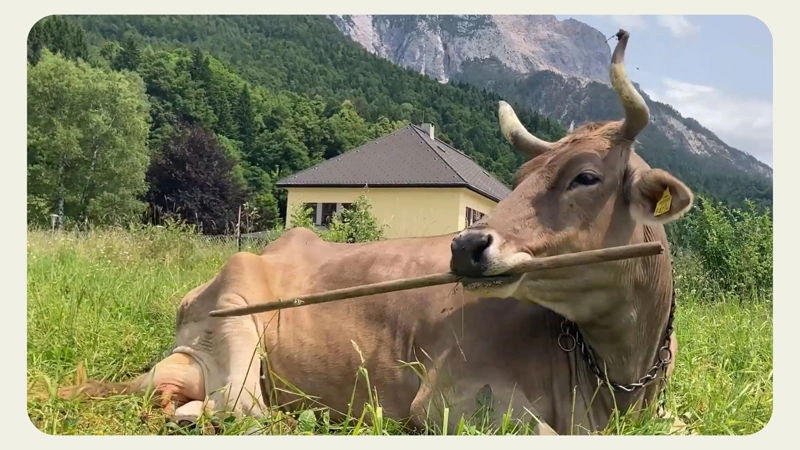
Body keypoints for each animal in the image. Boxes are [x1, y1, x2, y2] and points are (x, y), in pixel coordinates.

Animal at [54, 30, 694, 435]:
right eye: (518, 179)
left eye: (586, 176)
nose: (465, 245)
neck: (620, 372)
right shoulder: (448, 400)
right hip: (234, 316)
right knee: (240, 410)